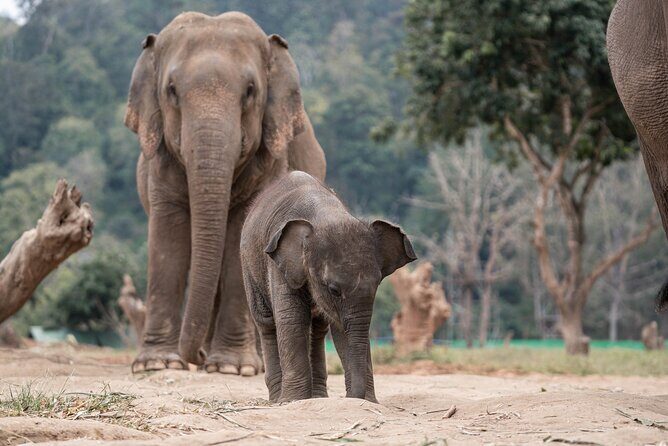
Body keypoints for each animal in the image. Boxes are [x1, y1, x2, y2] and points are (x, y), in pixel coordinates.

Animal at [124, 12, 326, 374]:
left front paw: (233, 368)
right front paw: (157, 364)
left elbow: (239, 240)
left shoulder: (270, 161)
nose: (198, 358)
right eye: (171, 90)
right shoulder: (160, 161)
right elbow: (167, 240)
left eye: (250, 91)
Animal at [240, 171, 416, 402]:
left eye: (377, 284)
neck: (326, 213)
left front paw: (368, 402)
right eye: (333, 290)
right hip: (248, 265)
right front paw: (294, 401)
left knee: (319, 328)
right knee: (267, 323)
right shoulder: (279, 265)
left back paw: (317, 397)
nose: (353, 397)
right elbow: (292, 317)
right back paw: (279, 399)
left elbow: (341, 328)